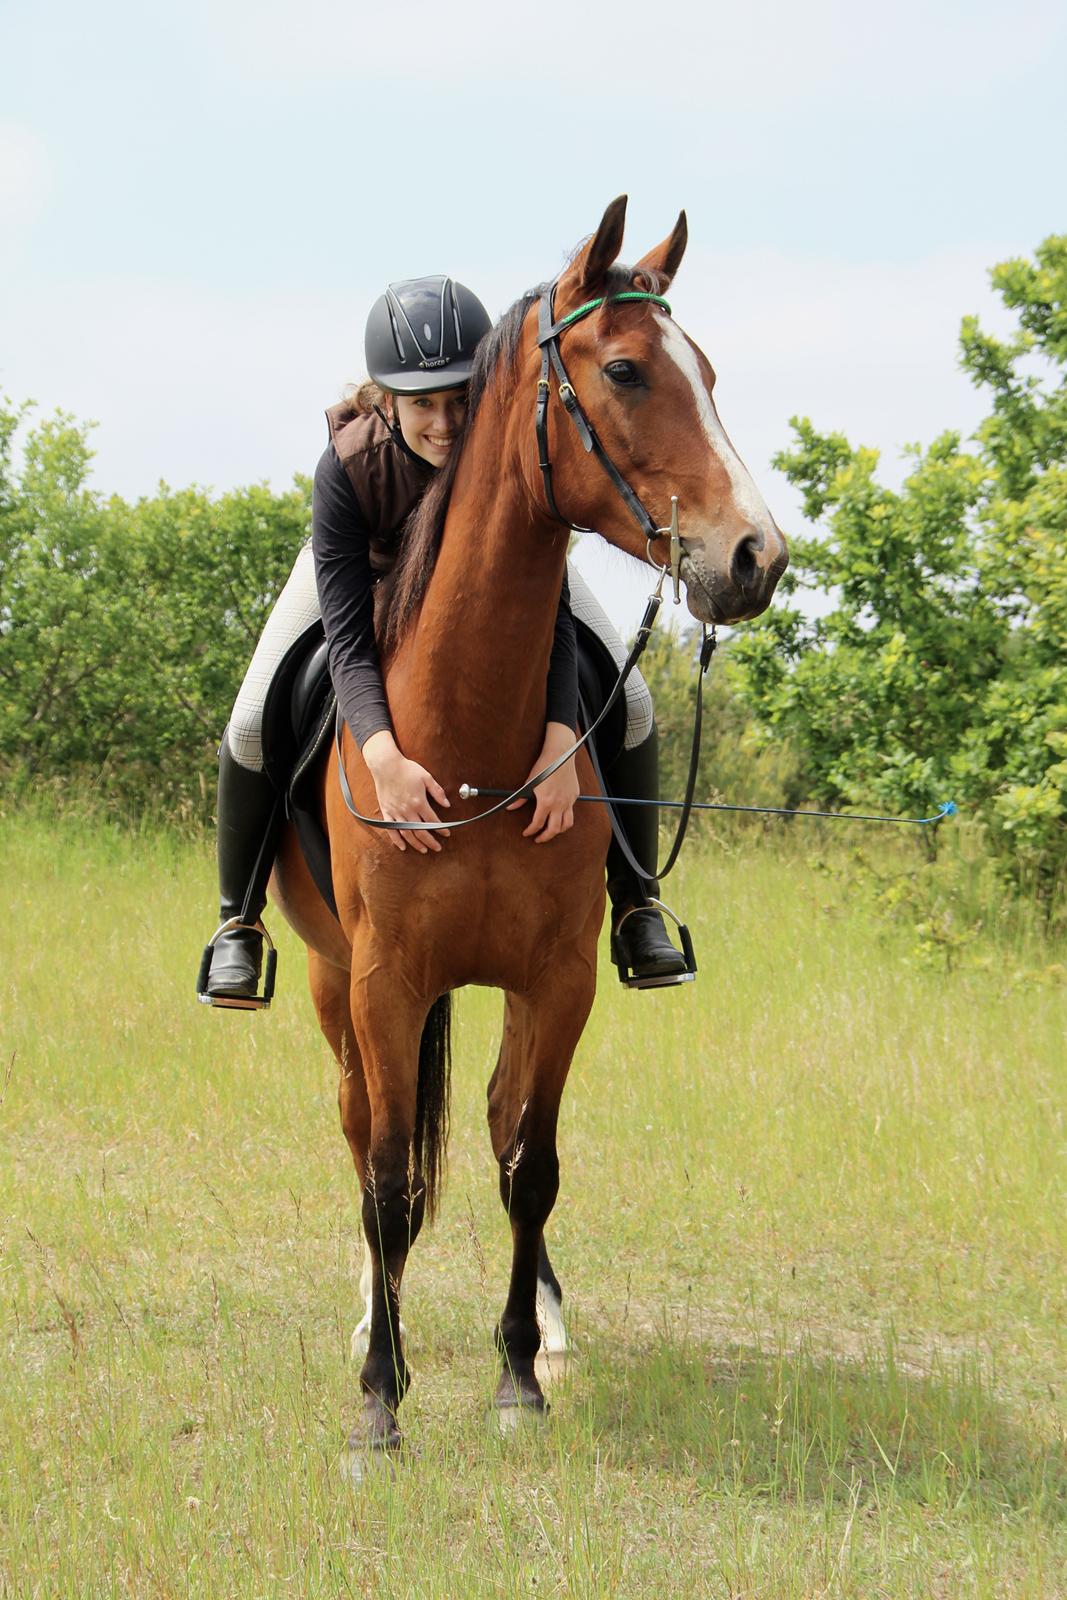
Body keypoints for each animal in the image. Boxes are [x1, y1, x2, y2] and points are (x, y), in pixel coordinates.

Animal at [271, 200, 790, 1465]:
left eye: (708, 372)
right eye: (625, 370)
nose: (753, 557)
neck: (470, 741)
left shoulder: (556, 980)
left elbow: (529, 1165)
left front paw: (516, 1373)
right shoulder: (384, 983)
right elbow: (388, 1178)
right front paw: (380, 1393)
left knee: (499, 1130)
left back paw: (544, 1324)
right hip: (330, 986)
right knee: (363, 1136)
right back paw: (370, 1312)